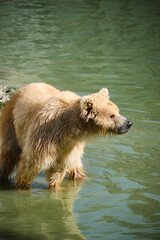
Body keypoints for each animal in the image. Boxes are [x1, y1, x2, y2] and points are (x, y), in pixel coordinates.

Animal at [0, 82, 132, 189]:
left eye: (118, 111)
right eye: (112, 115)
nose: (128, 123)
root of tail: (24, 87)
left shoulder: (69, 147)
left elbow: (58, 171)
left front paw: (56, 188)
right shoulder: (44, 138)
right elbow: (31, 165)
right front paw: (22, 186)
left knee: (76, 165)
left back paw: (83, 178)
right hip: (12, 123)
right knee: (9, 153)